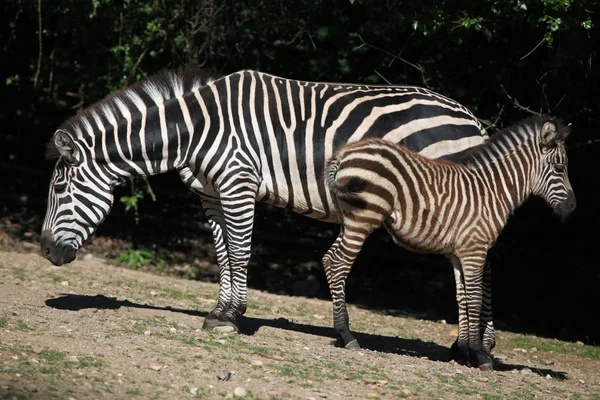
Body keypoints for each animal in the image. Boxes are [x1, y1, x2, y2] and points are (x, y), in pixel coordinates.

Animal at [41, 65, 488, 334]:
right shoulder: (210, 194)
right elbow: (222, 254)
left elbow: (240, 252)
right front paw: (220, 312)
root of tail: (471, 118)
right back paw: (470, 347)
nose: (44, 251)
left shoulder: (238, 183)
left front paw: (231, 316)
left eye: (59, 190)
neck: (194, 129)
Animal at [324, 115, 576, 368]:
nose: (573, 206)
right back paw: (347, 334)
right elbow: (475, 298)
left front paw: (464, 350)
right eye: (559, 167)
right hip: (363, 219)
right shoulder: (475, 250)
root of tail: (343, 153)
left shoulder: (457, 253)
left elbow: (461, 297)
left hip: (347, 220)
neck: (492, 192)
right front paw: (479, 354)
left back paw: (340, 333)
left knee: (328, 259)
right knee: (339, 265)